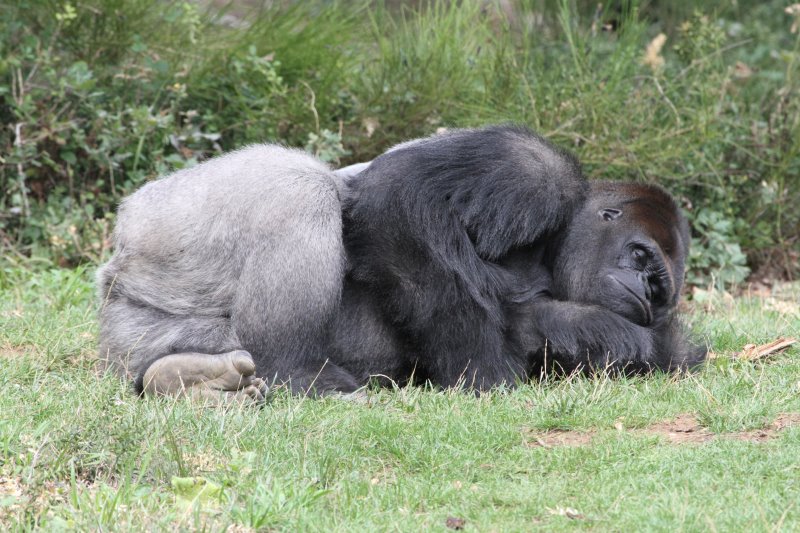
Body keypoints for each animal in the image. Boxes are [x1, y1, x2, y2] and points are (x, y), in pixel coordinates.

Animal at [98, 123, 708, 400]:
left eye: (659, 288)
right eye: (639, 255)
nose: (641, 288)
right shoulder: (533, 170)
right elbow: (395, 202)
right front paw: (481, 369)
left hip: (145, 332)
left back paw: (184, 377)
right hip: (157, 232)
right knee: (303, 187)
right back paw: (295, 369)